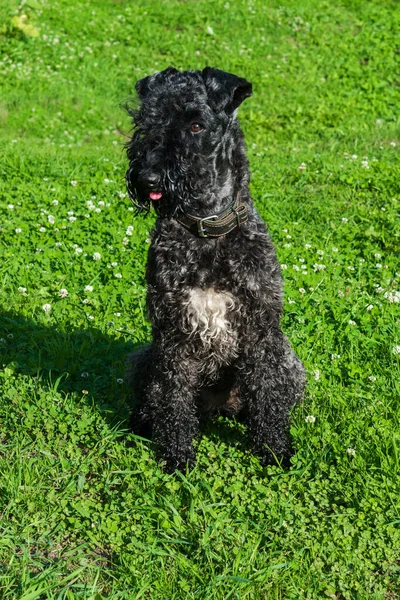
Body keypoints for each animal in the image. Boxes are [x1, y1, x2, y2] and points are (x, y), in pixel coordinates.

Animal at [125, 68, 306, 474]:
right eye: (146, 118)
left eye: (196, 124)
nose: (148, 177)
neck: (207, 230)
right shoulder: (172, 335)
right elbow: (173, 399)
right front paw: (178, 457)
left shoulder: (261, 331)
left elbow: (267, 395)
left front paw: (274, 451)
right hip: (145, 359)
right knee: (154, 399)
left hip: (290, 362)